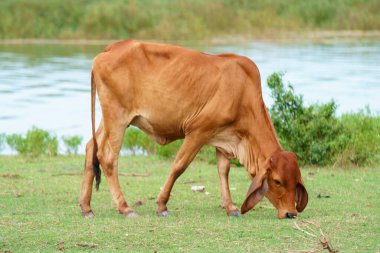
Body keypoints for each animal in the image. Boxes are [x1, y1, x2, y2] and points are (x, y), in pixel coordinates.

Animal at [78, 39, 308, 219]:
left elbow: (223, 171)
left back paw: (86, 207)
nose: (291, 213)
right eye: (277, 181)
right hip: (117, 117)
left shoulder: (223, 138)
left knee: (90, 149)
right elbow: (179, 166)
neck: (242, 92)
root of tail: (110, 48)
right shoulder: (198, 131)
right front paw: (162, 205)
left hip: (111, 120)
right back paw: (125, 208)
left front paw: (230, 207)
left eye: (295, 180)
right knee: (107, 157)